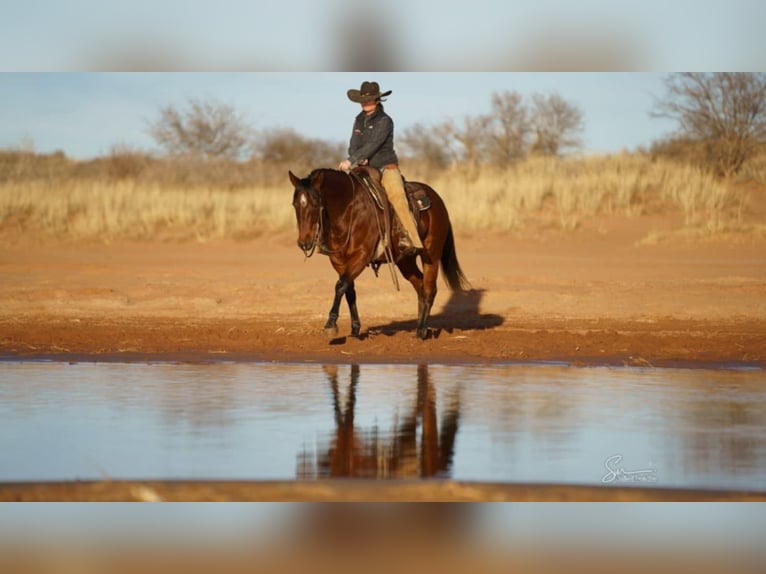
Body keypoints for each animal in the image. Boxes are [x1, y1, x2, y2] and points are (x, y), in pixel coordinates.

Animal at [288, 166, 468, 340]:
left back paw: (422, 331)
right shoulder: (338, 261)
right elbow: (348, 290)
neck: (349, 209)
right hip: (405, 261)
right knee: (420, 286)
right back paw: (420, 326)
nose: (304, 242)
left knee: (430, 289)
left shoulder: (362, 256)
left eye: (315, 203)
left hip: (431, 254)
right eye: (295, 204)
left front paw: (330, 326)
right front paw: (355, 330)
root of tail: (438, 200)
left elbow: (340, 286)